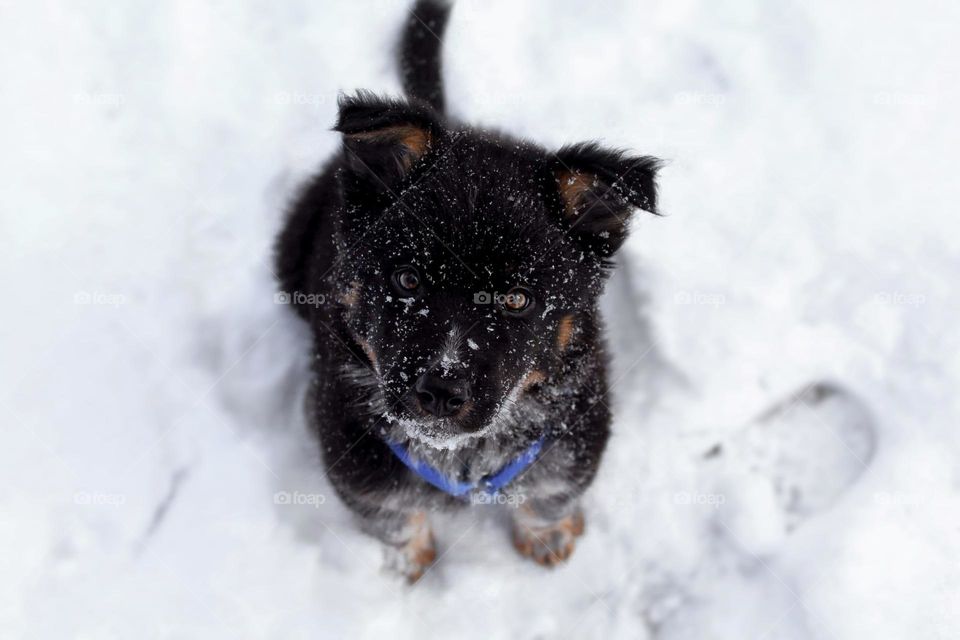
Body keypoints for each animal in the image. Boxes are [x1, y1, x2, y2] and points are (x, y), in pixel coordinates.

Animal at [274, 0, 656, 580]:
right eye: (407, 279)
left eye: (517, 299)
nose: (440, 392)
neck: (461, 455)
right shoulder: (354, 452)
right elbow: (392, 515)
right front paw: (405, 563)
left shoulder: (576, 432)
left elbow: (548, 494)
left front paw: (546, 536)